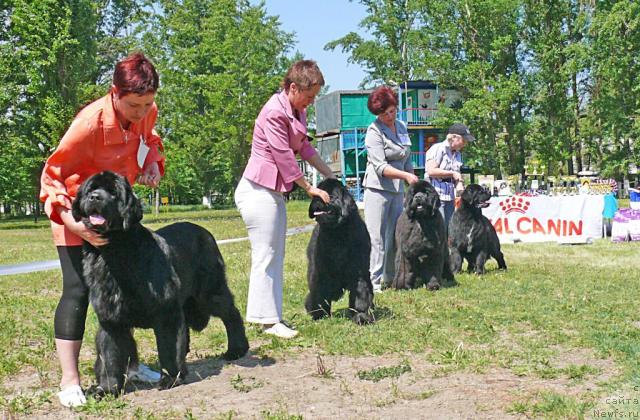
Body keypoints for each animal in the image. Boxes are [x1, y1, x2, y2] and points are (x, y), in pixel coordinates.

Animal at [72, 170, 248, 394]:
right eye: (91, 189)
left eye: (113, 193)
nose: (95, 197)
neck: (114, 255)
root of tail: (205, 232)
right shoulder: (110, 318)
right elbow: (109, 355)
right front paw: (107, 388)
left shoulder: (166, 311)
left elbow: (168, 348)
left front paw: (170, 378)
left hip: (208, 292)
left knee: (231, 313)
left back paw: (236, 349)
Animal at [304, 177, 376, 324]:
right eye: (315, 195)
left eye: (330, 196)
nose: (317, 200)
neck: (337, 232)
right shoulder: (320, 270)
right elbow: (319, 289)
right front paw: (320, 314)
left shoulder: (359, 268)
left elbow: (361, 291)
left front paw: (361, 315)